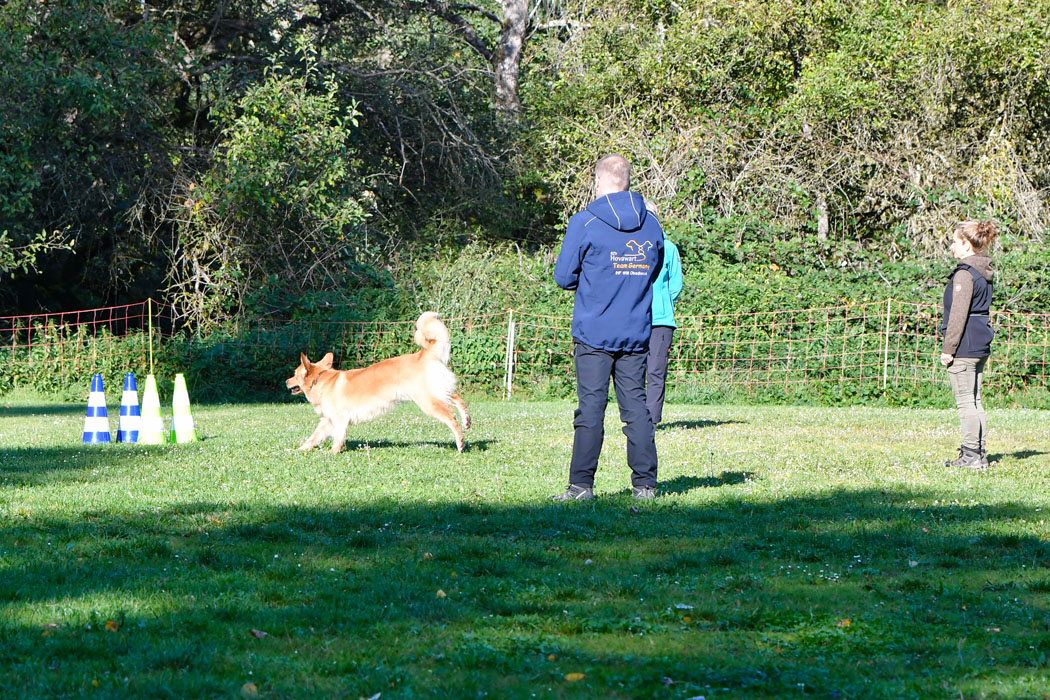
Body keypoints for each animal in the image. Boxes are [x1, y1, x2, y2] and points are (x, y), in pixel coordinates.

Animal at [285, 312, 470, 455]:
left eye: (294, 374)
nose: (286, 381)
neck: (320, 379)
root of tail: (422, 354)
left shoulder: (339, 419)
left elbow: (337, 438)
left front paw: (332, 452)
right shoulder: (327, 421)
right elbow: (313, 437)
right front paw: (299, 449)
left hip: (427, 401)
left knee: (451, 417)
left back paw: (460, 442)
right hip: (437, 392)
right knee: (457, 399)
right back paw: (467, 420)